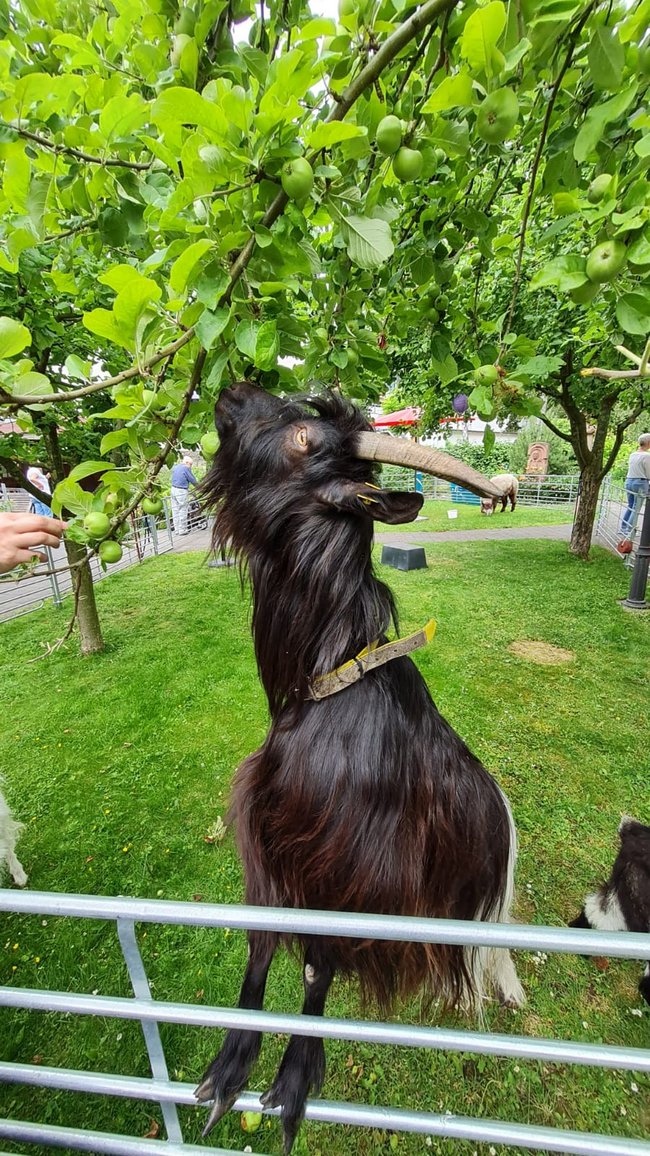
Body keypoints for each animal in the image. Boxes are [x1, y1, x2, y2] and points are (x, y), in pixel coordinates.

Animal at [196, 386, 520, 1146]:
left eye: (304, 438)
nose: (231, 391)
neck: (332, 684)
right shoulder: (269, 837)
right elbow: (261, 942)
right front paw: (228, 1071)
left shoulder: (351, 869)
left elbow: (318, 963)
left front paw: (291, 1085)